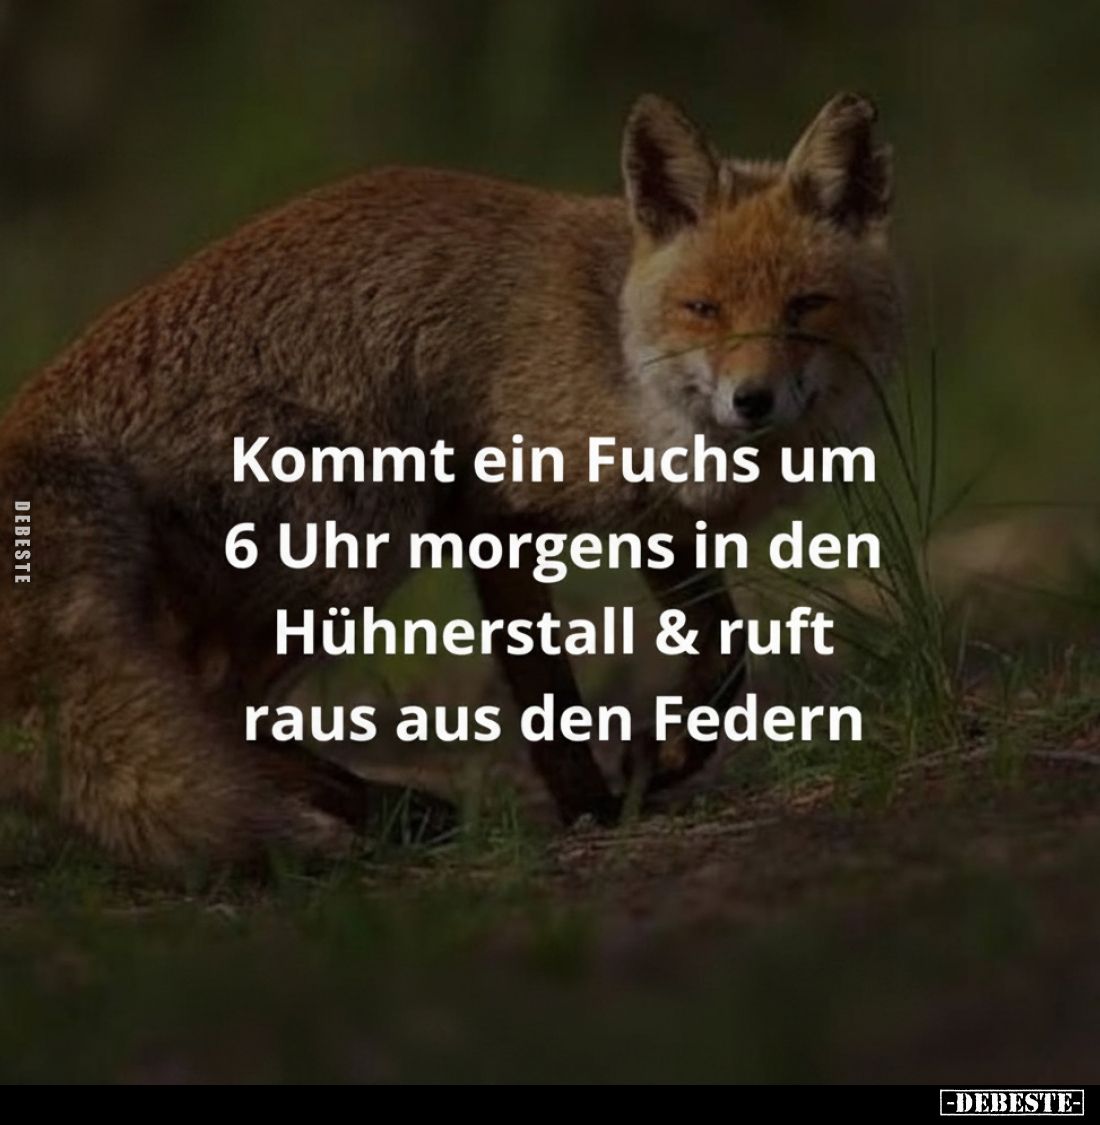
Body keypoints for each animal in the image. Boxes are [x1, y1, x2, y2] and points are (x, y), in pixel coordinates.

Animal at [0, 92, 901, 872]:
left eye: (805, 306)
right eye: (704, 309)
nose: (752, 400)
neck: (619, 353)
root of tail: (35, 406)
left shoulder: (664, 527)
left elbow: (725, 653)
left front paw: (670, 753)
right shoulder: (495, 512)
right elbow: (548, 692)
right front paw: (590, 806)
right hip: (363, 530)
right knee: (217, 700)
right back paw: (376, 810)